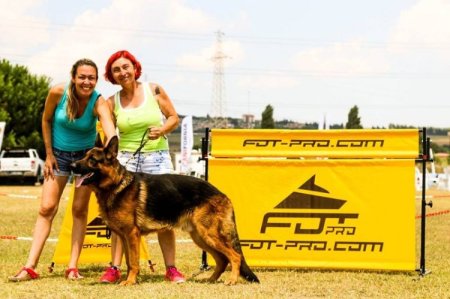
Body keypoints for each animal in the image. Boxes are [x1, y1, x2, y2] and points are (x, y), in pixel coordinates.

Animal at [71, 137, 260, 288]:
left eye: (92, 160)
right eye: (84, 156)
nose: (71, 166)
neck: (116, 185)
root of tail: (222, 194)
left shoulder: (132, 234)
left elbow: (134, 262)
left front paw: (130, 281)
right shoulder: (124, 237)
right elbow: (129, 262)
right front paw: (130, 279)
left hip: (208, 235)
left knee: (235, 256)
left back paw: (232, 280)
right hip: (200, 237)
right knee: (222, 260)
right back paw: (210, 280)